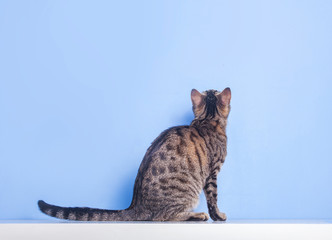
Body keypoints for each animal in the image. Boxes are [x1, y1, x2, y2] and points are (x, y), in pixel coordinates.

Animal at [38, 88, 231, 221]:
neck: (208, 120)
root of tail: (135, 205)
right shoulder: (212, 173)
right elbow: (213, 198)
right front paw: (218, 216)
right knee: (163, 217)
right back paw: (197, 215)